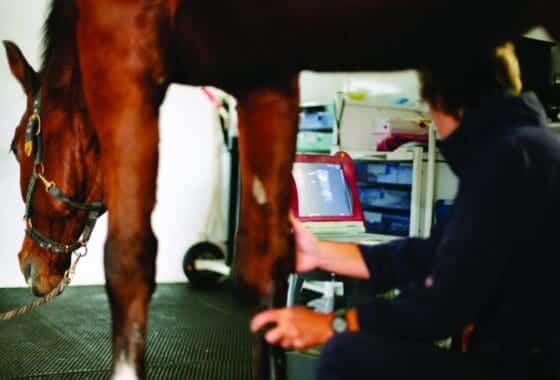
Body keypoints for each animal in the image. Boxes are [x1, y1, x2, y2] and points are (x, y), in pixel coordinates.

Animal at [4, 0, 560, 380]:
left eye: (14, 146)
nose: (27, 264)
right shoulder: (267, 79)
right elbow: (268, 267)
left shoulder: (123, 55)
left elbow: (129, 264)